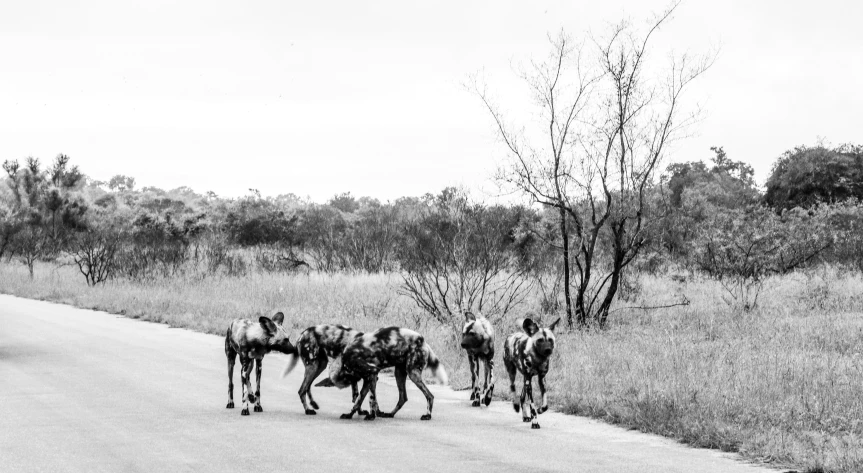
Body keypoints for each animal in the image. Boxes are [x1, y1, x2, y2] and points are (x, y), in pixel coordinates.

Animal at [318, 328, 452, 420]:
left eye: (347, 379)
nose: (354, 381)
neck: (345, 360)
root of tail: (422, 340)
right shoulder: (370, 378)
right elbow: (364, 400)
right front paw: (355, 414)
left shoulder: (371, 374)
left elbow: (367, 399)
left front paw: (368, 416)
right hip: (399, 373)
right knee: (403, 397)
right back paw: (390, 414)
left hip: (413, 374)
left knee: (430, 396)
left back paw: (427, 415)